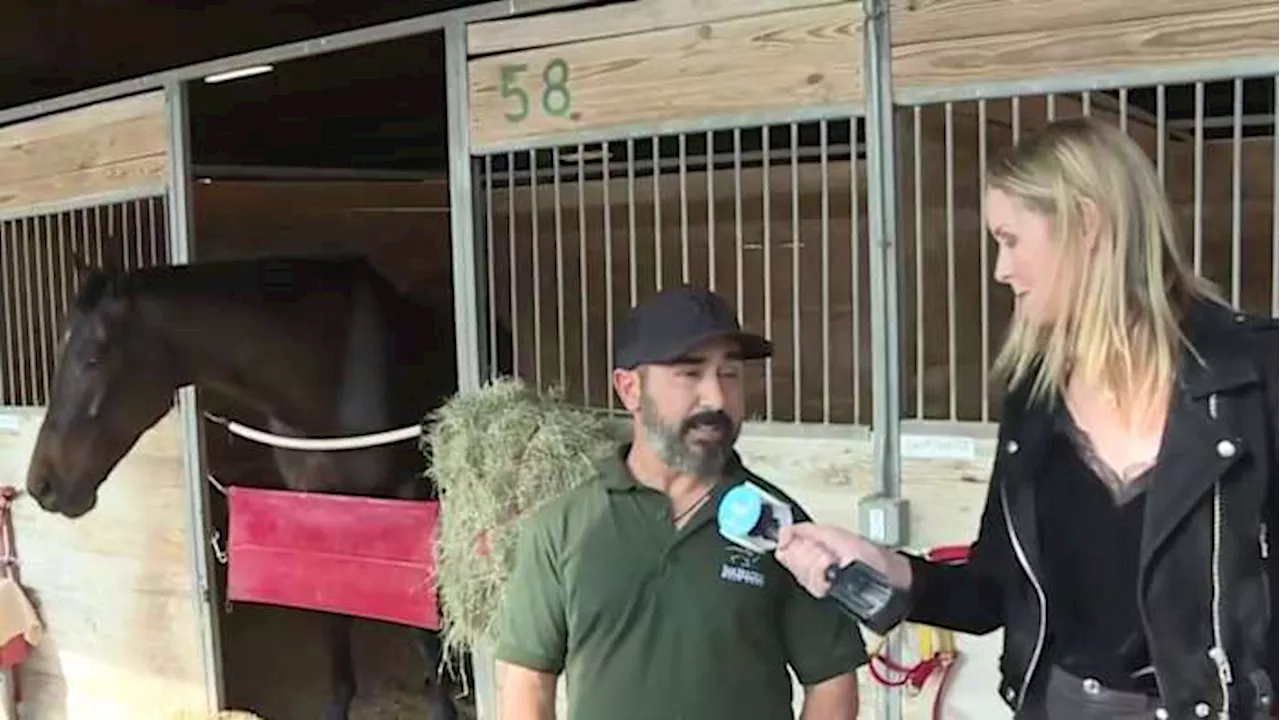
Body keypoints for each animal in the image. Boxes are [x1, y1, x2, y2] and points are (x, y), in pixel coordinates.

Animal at [24, 252, 504, 717]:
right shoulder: (316, 508)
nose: (41, 484)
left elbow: (420, 622)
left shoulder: (407, 498)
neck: (329, 380)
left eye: (95, 355)